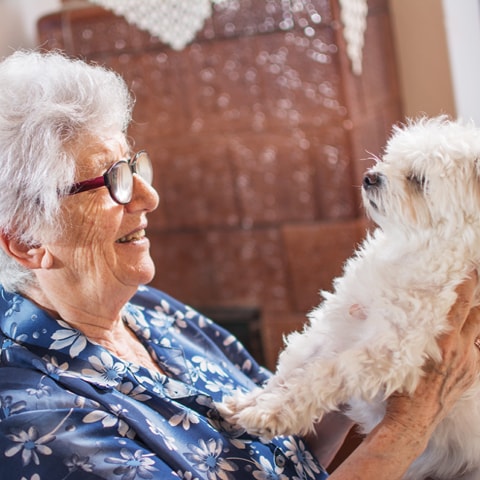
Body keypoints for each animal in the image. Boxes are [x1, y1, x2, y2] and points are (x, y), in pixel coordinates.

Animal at [222, 117, 480, 480]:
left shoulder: (389, 352)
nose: (370, 176)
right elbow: (293, 367)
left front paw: (271, 414)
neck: (410, 251)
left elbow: (323, 374)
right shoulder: (338, 321)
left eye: (418, 179)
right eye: (390, 158)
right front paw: (252, 401)